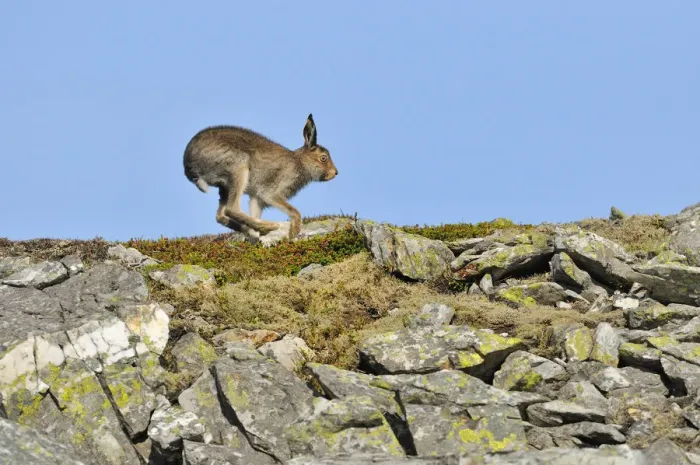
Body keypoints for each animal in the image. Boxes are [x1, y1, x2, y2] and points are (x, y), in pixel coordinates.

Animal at [183, 114, 338, 240]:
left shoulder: (257, 199)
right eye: (323, 158)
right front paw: (294, 232)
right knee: (231, 209)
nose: (335, 173)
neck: (300, 163)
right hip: (238, 167)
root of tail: (188, 164)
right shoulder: (271, 192)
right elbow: (294, 211)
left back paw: (253, 230)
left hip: (224, 186)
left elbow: (254, 211)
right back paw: (269, 226)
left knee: (221, 215)